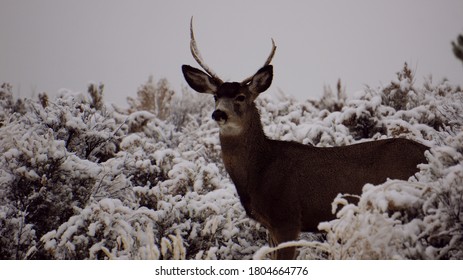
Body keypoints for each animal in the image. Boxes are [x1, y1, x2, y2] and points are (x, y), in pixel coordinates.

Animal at [182, 19, 432, 260]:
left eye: (241, 97)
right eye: (216, 96)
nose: (219, 114)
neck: (260, 170)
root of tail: (428, 154)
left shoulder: (288, 218)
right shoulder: (271, 226)